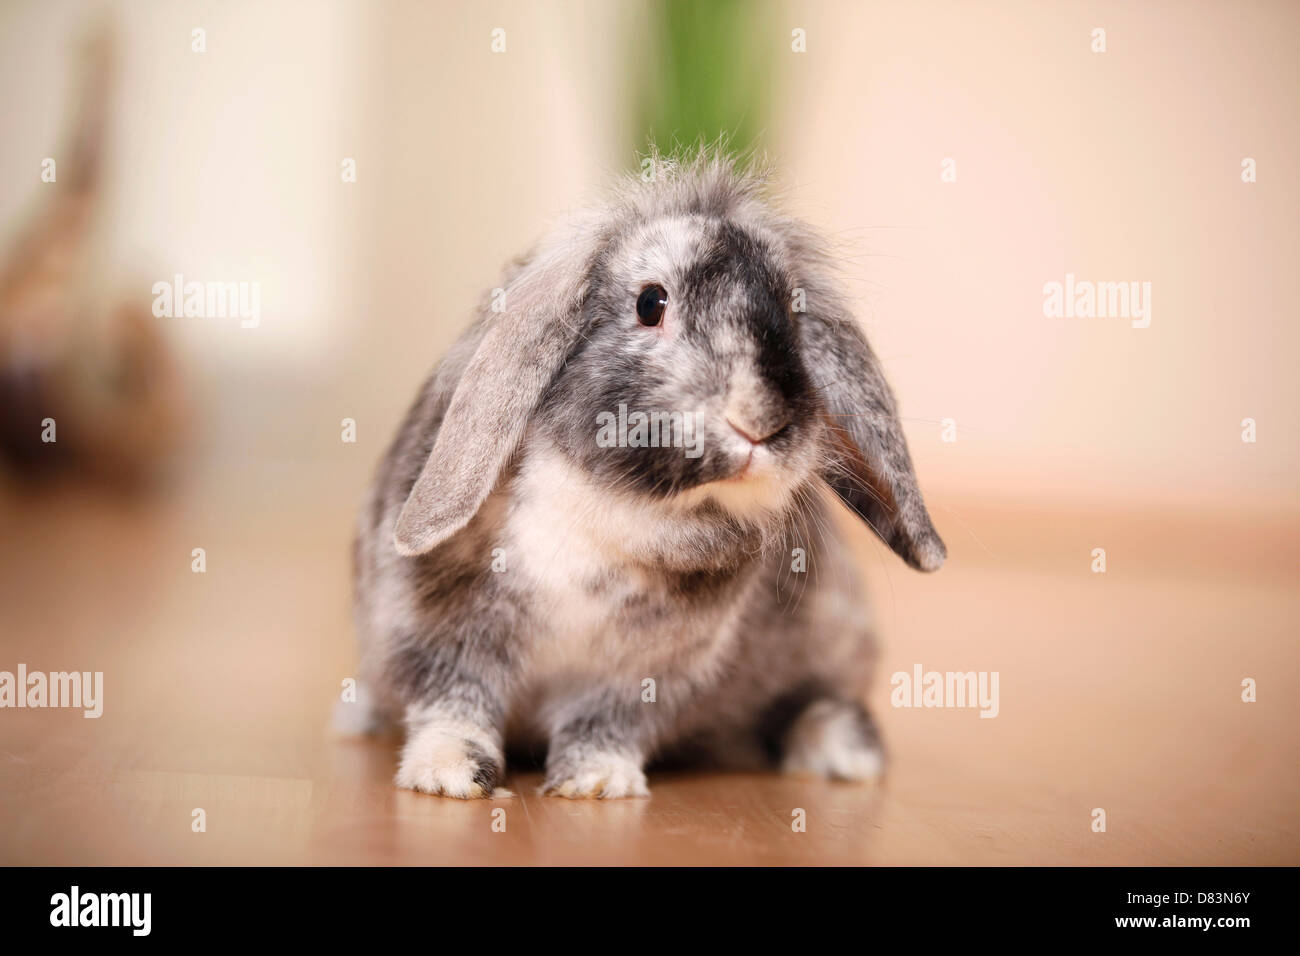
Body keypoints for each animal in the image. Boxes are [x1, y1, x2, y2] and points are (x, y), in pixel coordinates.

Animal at [349, 151, 945, 799]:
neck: (623, 508)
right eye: (650, 304)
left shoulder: (646, 676)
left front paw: (596, 783)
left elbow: (604, 723)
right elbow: (454, 706)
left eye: (792, 312)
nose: (763, 422)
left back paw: (843, 755)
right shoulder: (437, 635)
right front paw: (450, 777)